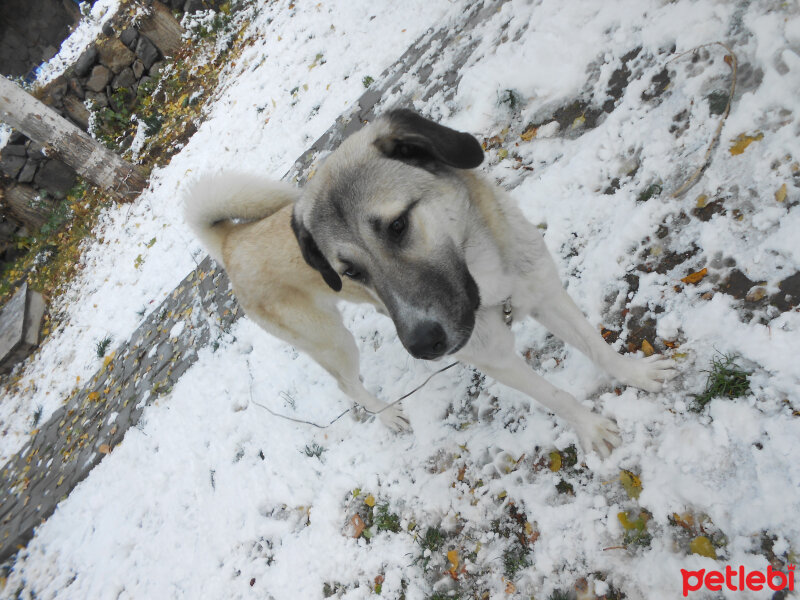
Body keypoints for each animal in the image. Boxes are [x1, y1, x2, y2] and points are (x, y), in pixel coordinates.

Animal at [183, 109, 676, 454]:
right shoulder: (496, 359)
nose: (423, 346)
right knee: (347, 385)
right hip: (332, 341)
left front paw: (635, 374)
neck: (487, 280)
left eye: (398, 226)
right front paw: (590, 427)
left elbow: (597, 348)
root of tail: (231, 241)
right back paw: (387, 416)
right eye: (350, 272)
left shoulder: (546, 293)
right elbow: (556, 396)